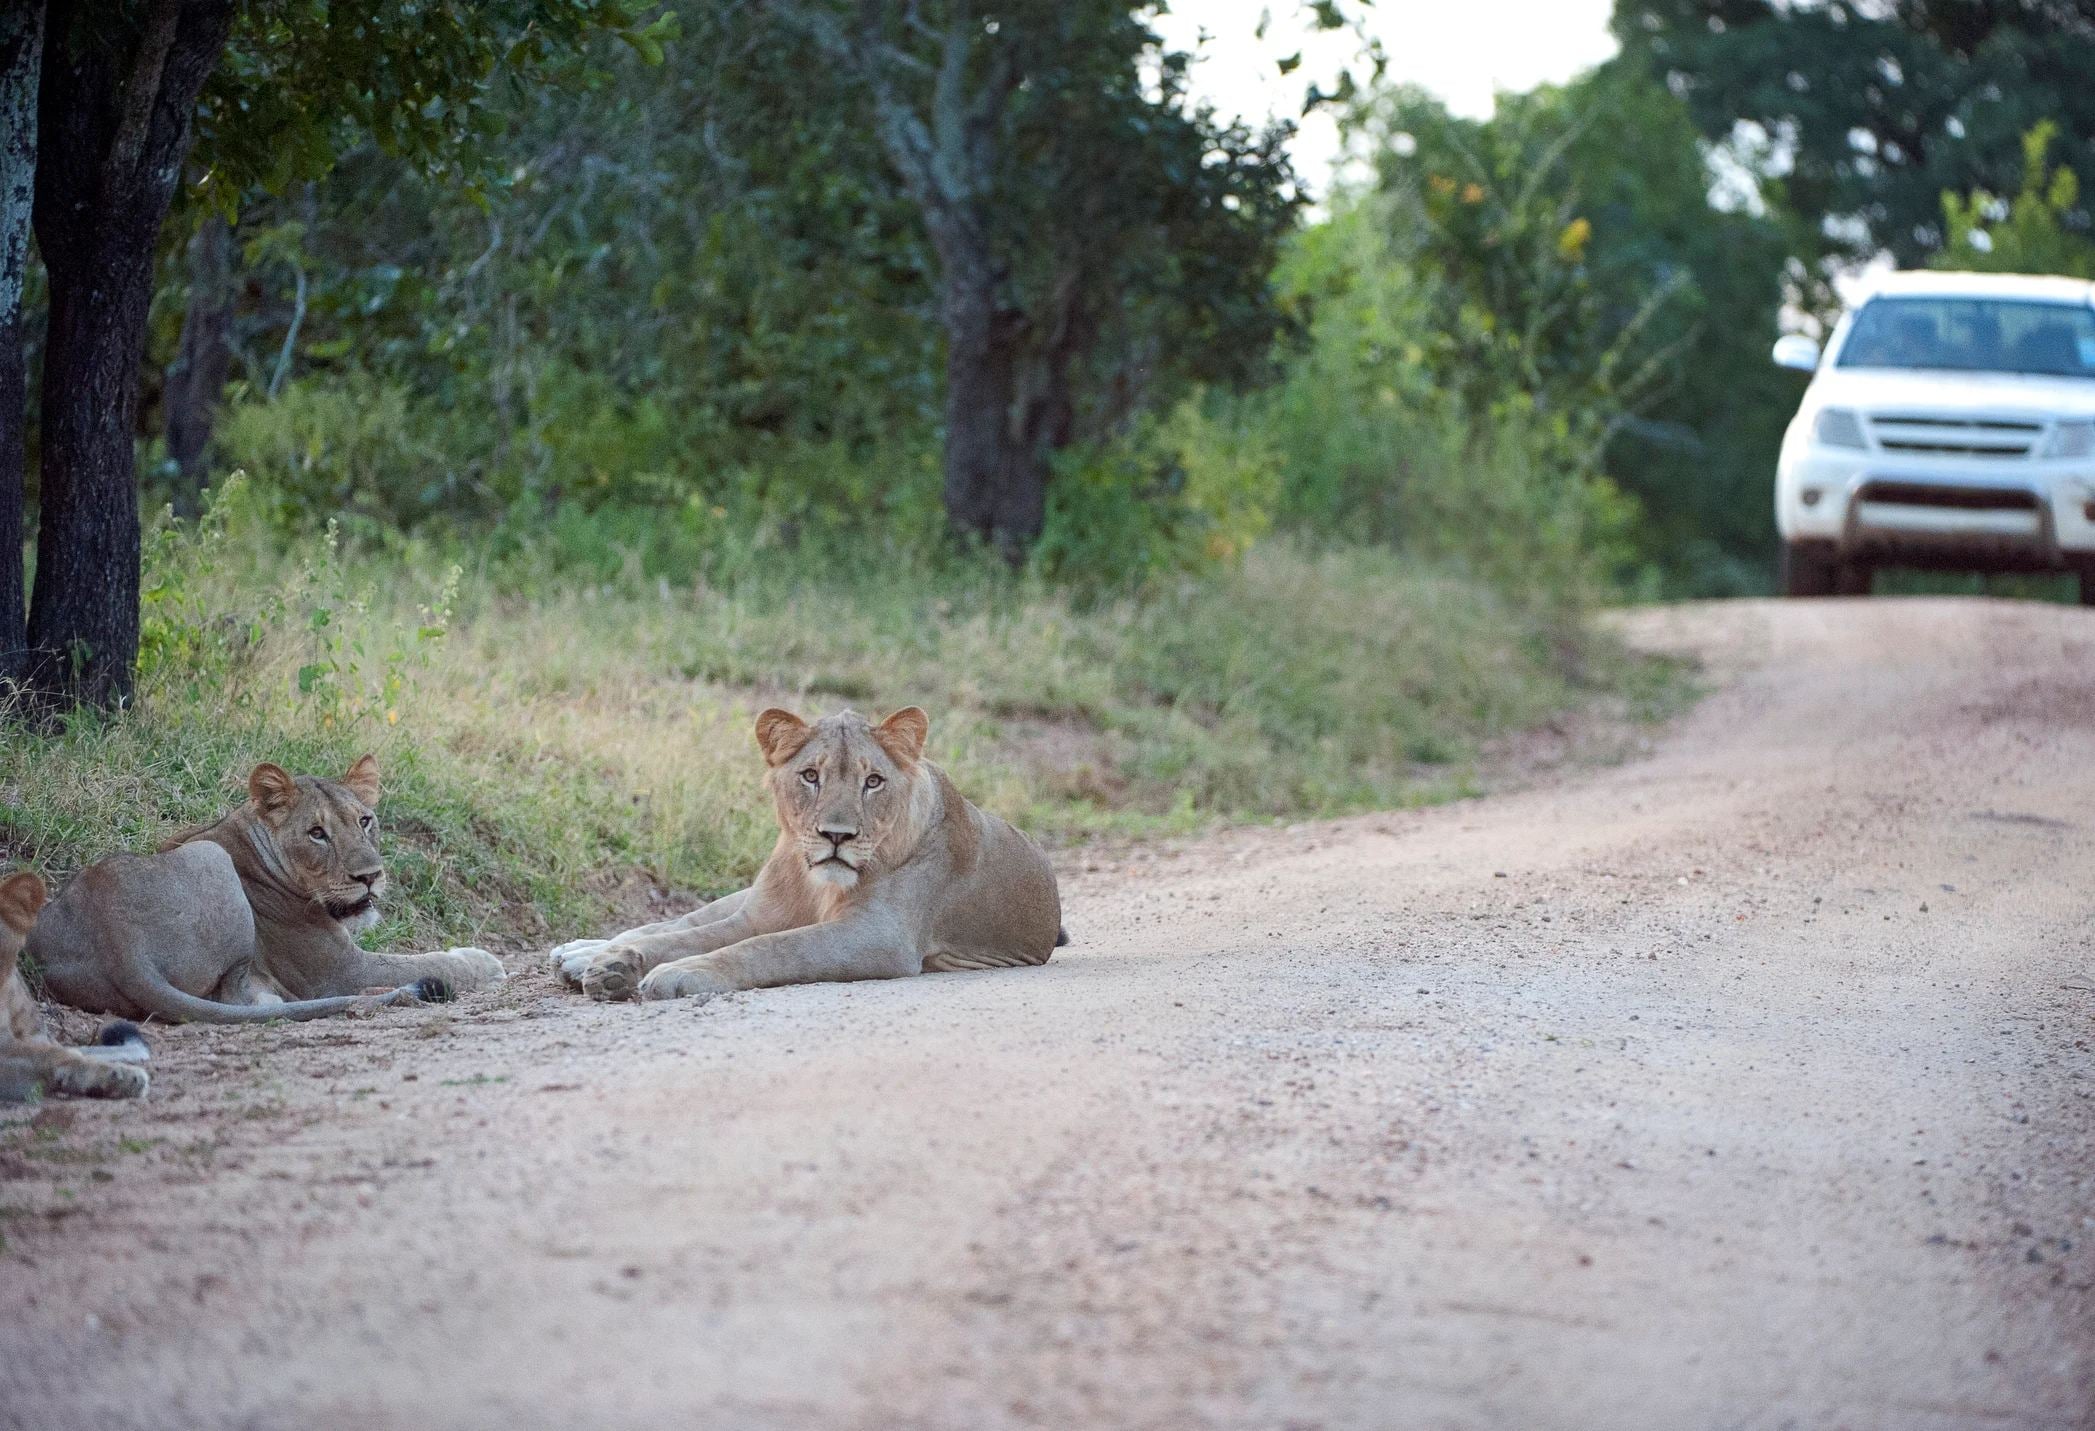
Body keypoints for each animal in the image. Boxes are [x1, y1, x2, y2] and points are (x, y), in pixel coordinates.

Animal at [28, 756, 505, 1024]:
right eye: (317, 834)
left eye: (365, 821)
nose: (370, 876)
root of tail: (117, 940)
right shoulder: (340, 970)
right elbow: (426, 962)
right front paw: (484, 961)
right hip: (210, 861)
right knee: (240, 996)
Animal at [549, 706, 1066, 1004]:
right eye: (811, 776)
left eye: (872, 781)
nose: (836, 835)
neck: (816, 883)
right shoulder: (757, 915)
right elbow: (689, 936)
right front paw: (618, 965)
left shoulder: (877, 936)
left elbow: (771, 947)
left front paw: (680, 973)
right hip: (745, 897)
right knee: (677, 921)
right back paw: (581, 955)